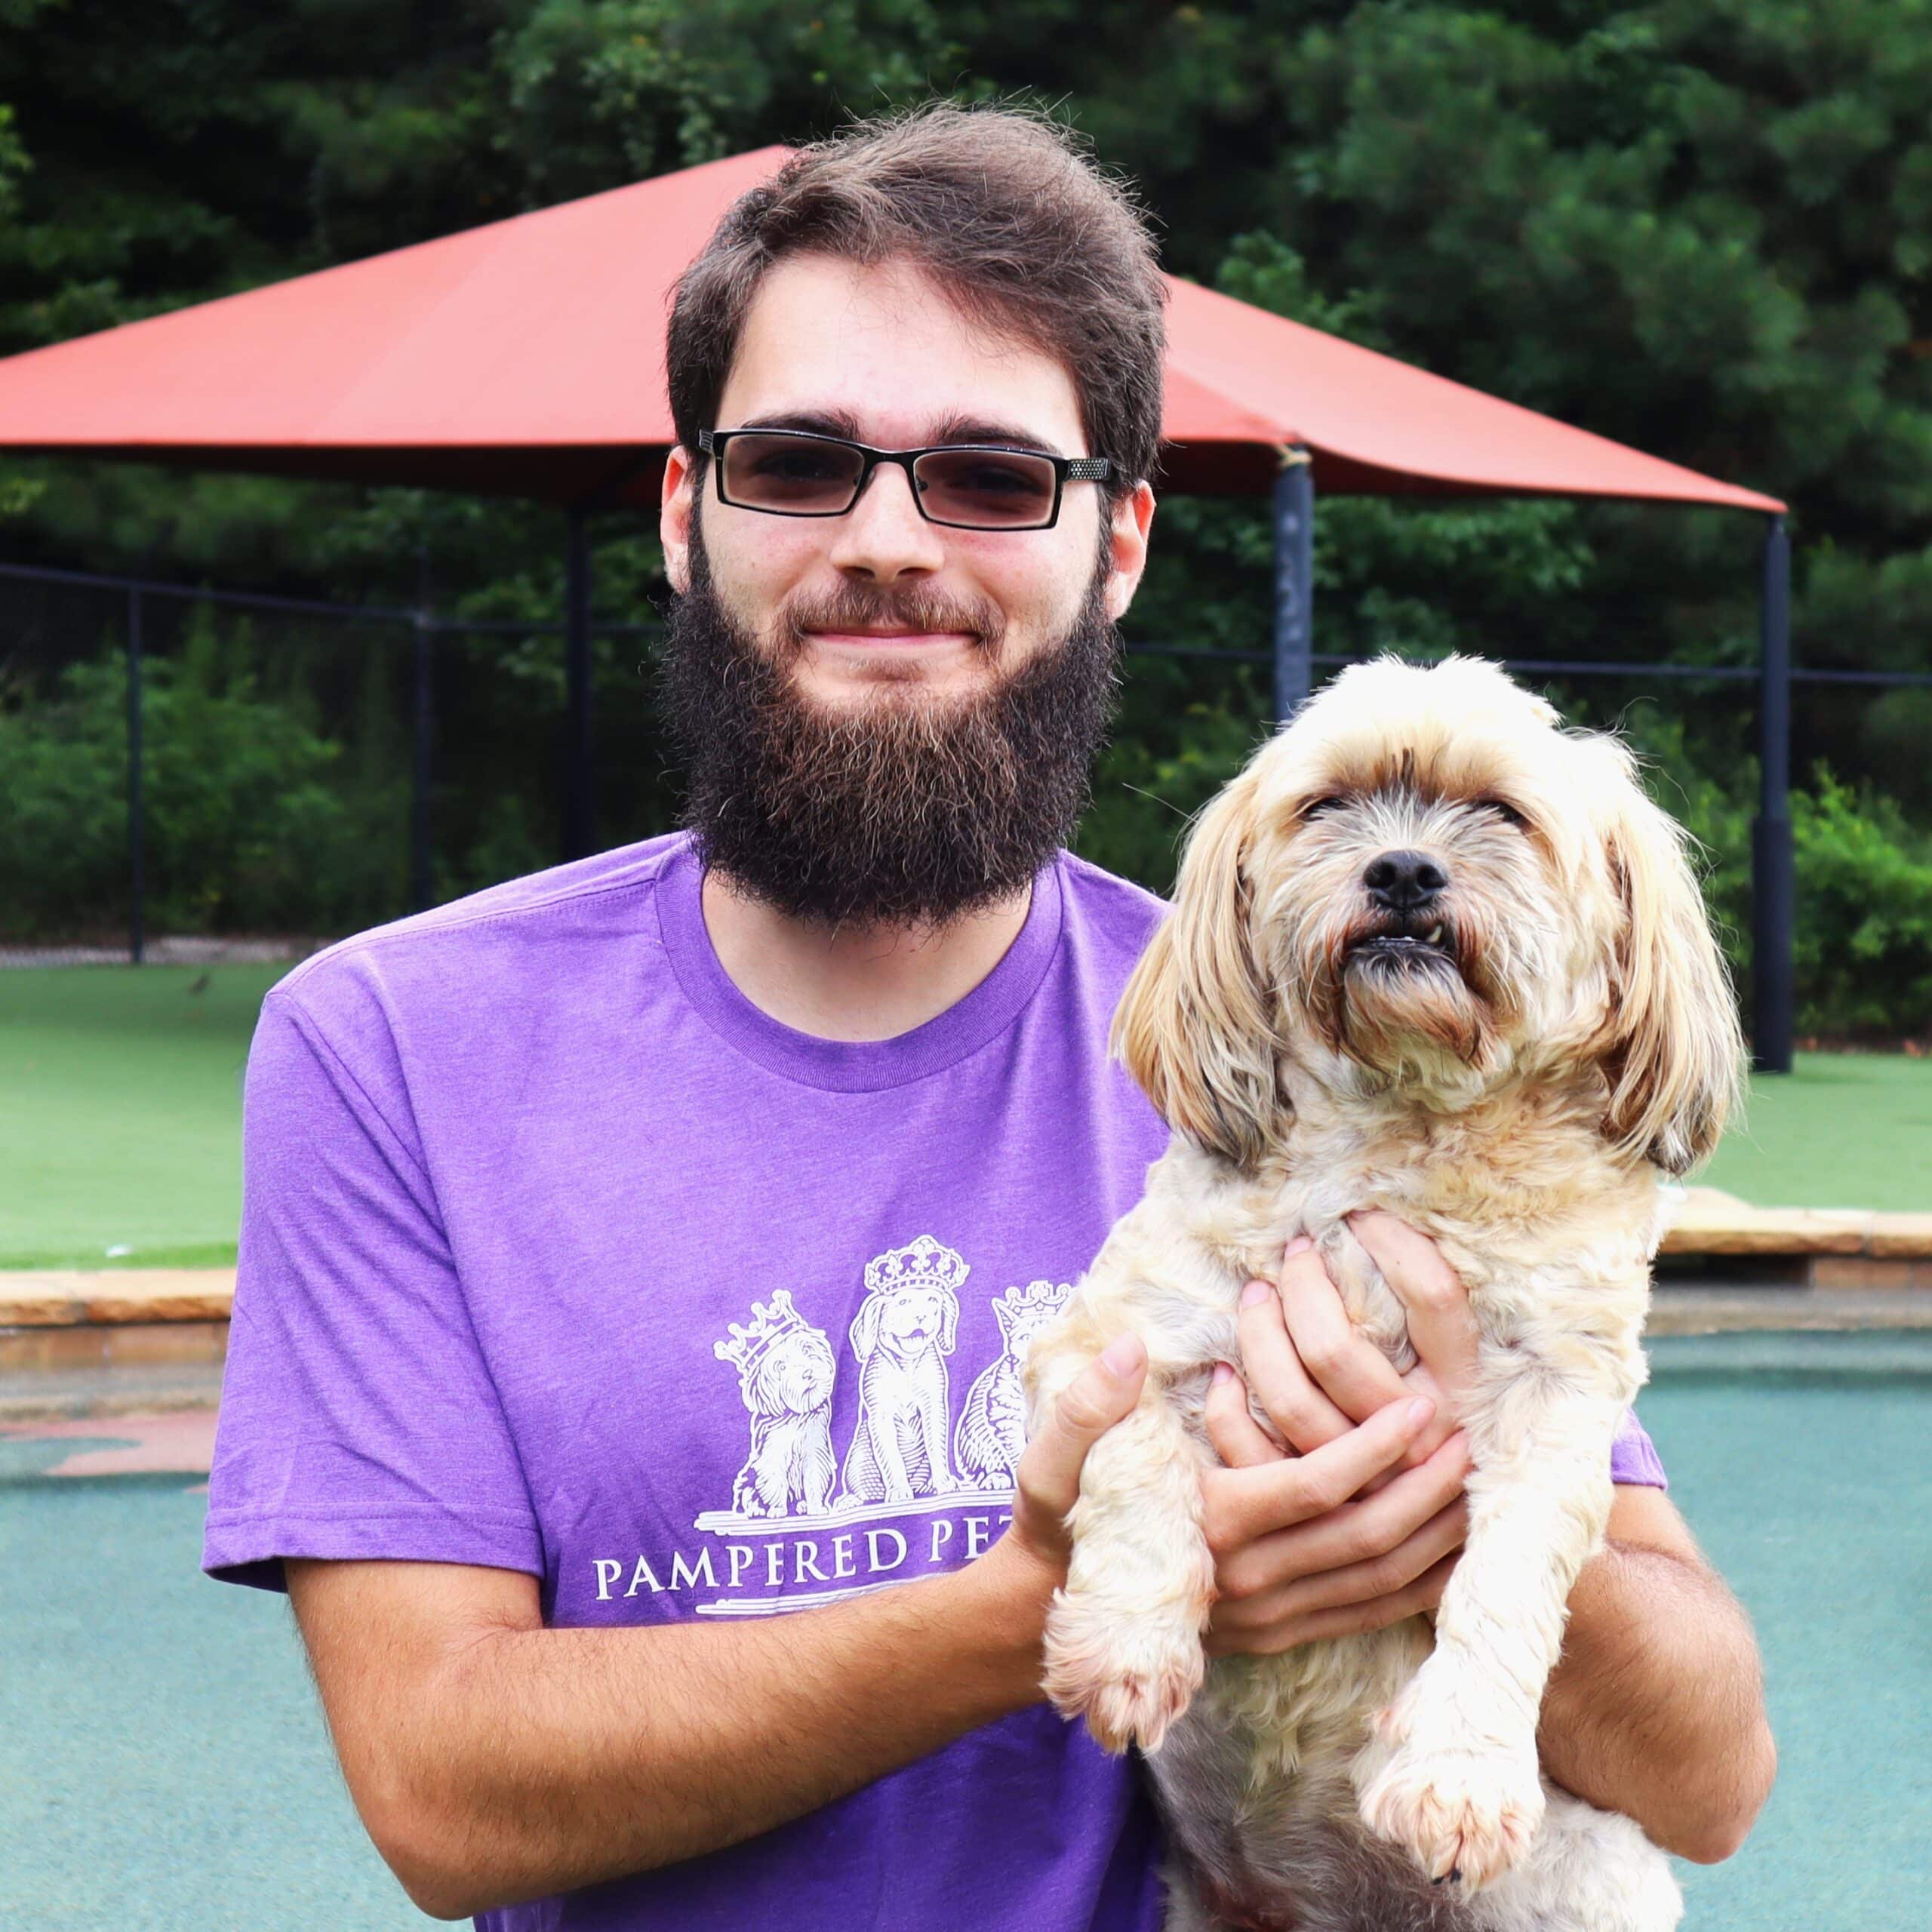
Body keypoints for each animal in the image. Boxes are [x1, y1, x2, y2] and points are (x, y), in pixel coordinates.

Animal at [1035, 660, 1746, 1932]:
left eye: (1502, 813)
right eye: (1327, 806)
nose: (1404, 871)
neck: (1406, 1124)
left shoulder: (1560, 1400)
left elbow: (1508, 1582)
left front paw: (1460, 1778)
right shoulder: (1119, 1341)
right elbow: (1137, 1471)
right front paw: (1125, 1646)